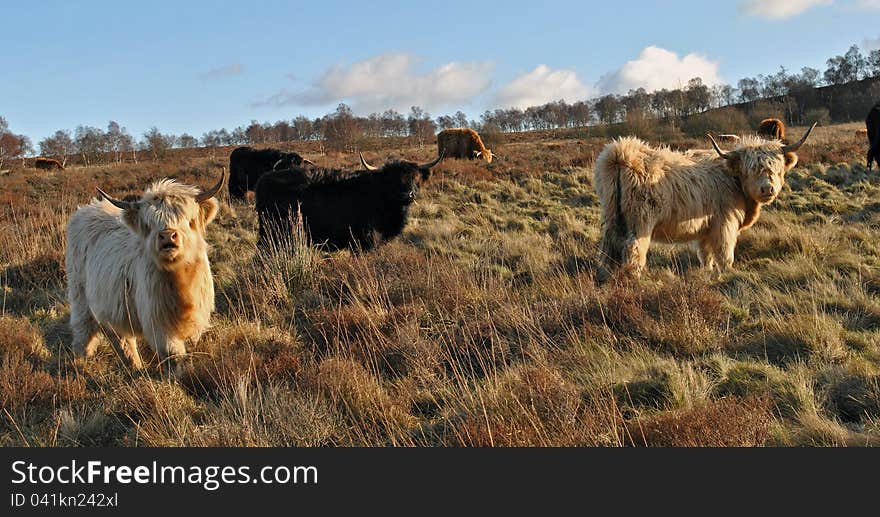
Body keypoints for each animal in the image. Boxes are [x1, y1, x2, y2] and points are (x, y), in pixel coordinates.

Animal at [65, 171, 223, 372]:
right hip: (80, 296)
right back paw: (80, 362)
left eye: (188, 220)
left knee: (120, 337)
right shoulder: (159, 324)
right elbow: (174, 356)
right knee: (83, 331)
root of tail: (88, 208)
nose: (167, 236)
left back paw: (134, 366)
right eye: (149, 224)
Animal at [596, 123, 816, 276]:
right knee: (633, 249)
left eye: (776, 169)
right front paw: (725, 274)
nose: (768, 188)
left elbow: (705, 255)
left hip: (612, 216)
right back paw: (634, 278)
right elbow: (725, 255)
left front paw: (707, 273)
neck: (733, 180)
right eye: (751, 169)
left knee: (609, 248)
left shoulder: (705, 229)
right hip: (640, 221)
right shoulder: (725, 223)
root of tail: (621, 154)